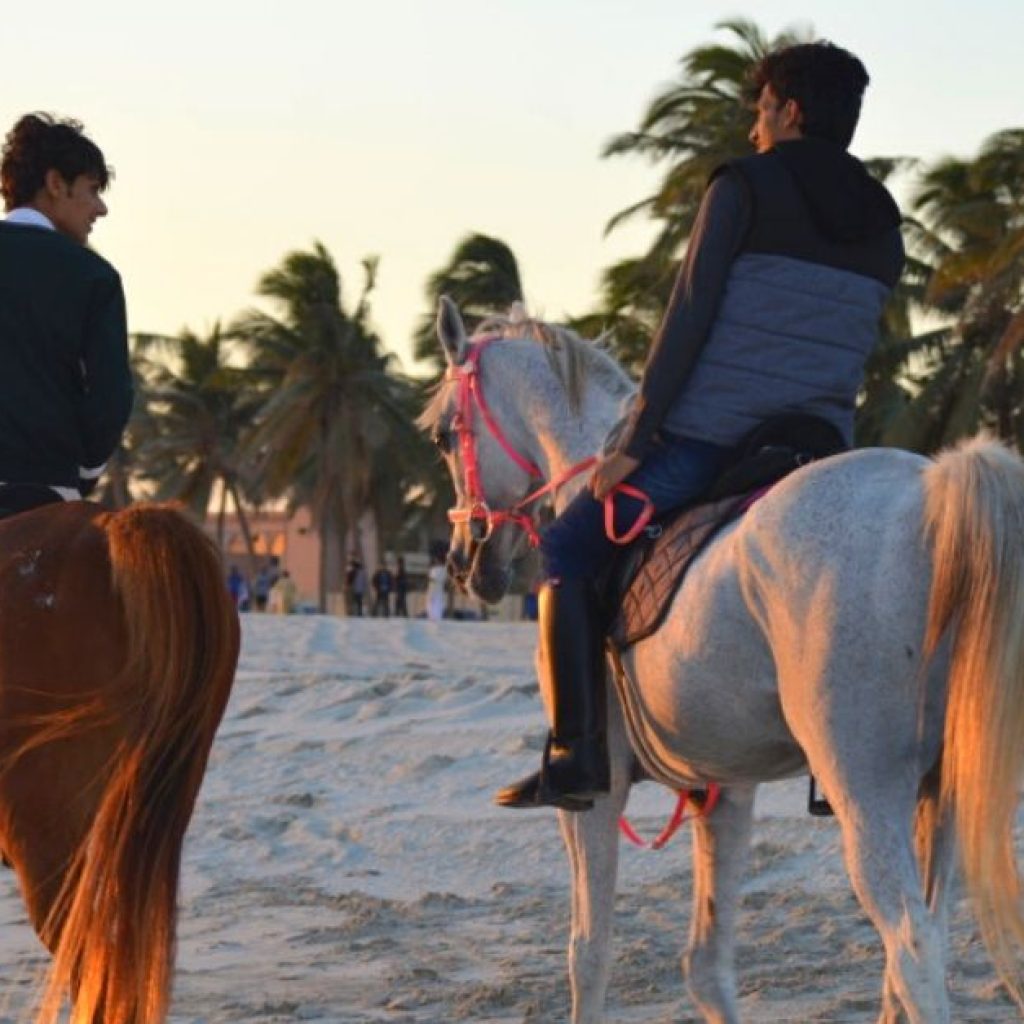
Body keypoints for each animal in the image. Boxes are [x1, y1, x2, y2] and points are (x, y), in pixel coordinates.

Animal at [420, 295, 1024, 1024]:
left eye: (443, 436)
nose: (464, 562)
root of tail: (932, 485)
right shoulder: (724, 789)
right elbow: (706, 967)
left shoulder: (594, 794)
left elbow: (587, 955)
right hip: (942, 791)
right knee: (919, 942)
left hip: (865, 791)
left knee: (911, 945)